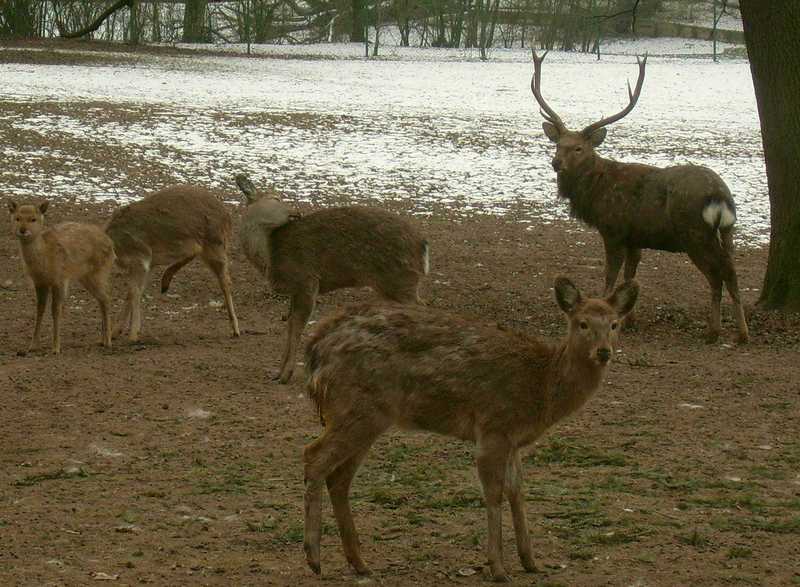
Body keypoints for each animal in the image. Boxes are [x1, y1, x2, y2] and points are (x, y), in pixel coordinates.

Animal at [7, 200, 114, 354]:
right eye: (17, 218)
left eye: (33, 219)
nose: (22, 230)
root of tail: (112, 245)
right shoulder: (39, 282)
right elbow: (40, 309)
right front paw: (32, 346)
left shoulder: (60, 279)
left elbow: (56, 310)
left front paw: (56, 347)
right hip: (86, 277)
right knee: (102, 298)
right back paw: (102, 339)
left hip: (99, 272)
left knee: (106, 298)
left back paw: (108, 341)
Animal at [108, 184, 242, 342]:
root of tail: (228, 217)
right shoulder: (145, 265)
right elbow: (132, 292)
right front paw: (115, 332)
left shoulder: (140, 258)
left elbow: (134, 292)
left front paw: (133, 335)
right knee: (197, 255)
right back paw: (165, 282)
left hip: (215, 245)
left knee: (225, 281)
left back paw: (236, 329)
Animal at [234, 175, 428, 386]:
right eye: (275, 198)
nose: (297, 212)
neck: (269, 259)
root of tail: (423, 245)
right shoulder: (295, 289)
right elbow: (290, 324)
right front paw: (277, 373)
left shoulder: (307, 280)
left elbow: (297, 327)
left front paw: (285, 375)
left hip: (400, 280)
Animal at [300, 280, 636, 584]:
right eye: (582, 323)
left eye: (614, 324)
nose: (603, 352)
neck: (541, 388)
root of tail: (316, 346)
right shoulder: (493, 427)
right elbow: (494, 493)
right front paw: (498, 568)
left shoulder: (514, 440)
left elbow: (517, 490)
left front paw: (530, 562)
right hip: (358, 408)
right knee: (313, 457)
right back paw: (314, 558)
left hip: (364, 416)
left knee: (338, 477)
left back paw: (359, 563)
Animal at [532, 51, 752, 344]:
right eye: (558, 145)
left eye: (579, 148)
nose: (556, 163)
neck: (596, 190)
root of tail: (720, 194)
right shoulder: (634, 237)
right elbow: (630, 275)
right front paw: (629, 319)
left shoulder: (613, 230)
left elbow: (610, 275)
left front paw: (608, 316)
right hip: (728, 228)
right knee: (732, 270)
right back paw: (741, 332)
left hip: (694, 232)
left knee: (718, 274)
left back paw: (715, 331)